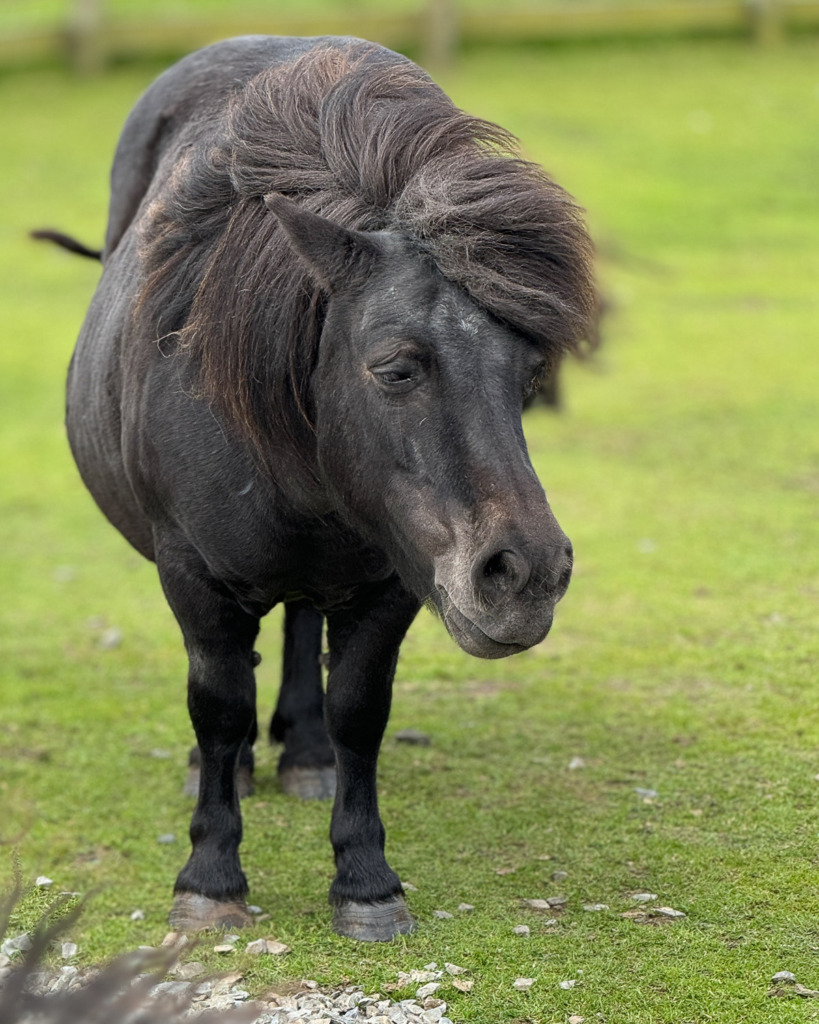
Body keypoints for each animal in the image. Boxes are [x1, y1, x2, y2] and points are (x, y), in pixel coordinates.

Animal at [59, 34, 595, 941]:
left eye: (528, 373)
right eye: (395, 368)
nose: (526, 577)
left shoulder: (392, 583)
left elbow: (358, 711)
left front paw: (366, 881)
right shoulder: (193, 577)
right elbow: (219, 702)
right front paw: (210, 878)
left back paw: (305, 756)